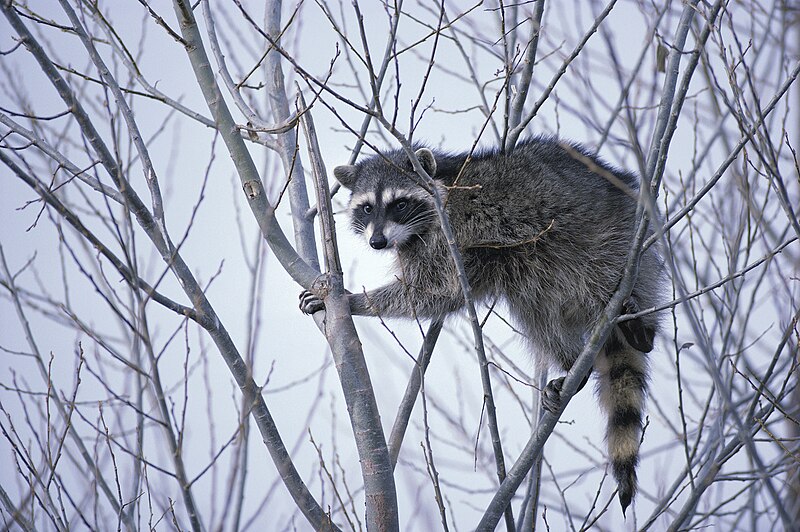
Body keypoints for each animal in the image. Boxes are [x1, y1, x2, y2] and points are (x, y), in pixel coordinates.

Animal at [300, 137, 664, 516]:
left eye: (399, 204)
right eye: (367, 208)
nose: (377, 242)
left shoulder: (449, 235)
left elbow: (433, 290)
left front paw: (354, 300)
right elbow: (439, 296)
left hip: (612, 241)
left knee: (599, 275)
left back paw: (641, 329)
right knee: (535, 310)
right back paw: (573, 363)